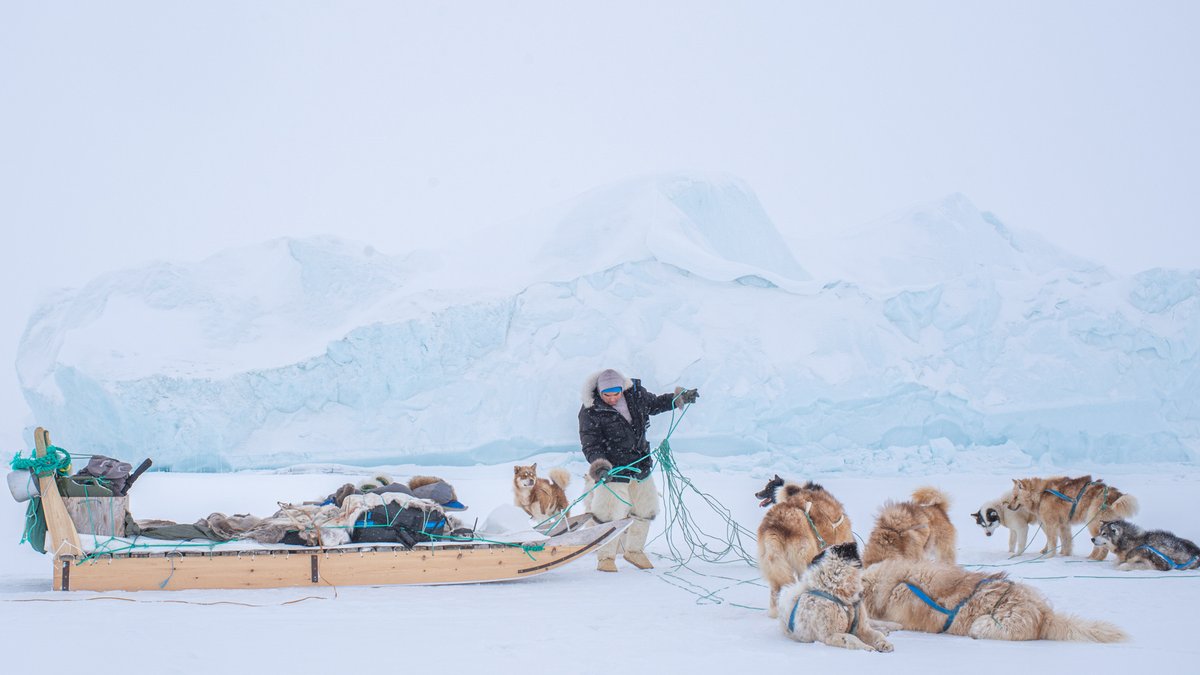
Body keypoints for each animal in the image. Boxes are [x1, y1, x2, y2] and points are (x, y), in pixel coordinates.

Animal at [758, 473, 854, 614]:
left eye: (768, 487)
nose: (756, 494)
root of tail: (775, 526)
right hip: (805, 561)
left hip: (774, 567)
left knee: (775, 592)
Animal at [1008, 473, 1137, 557]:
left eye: (1015, 497)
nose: (1008, 507)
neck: (1041, 493)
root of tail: (1116, 494)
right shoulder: (1063, 525)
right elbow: (1066, 542)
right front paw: (1064, 555)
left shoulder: (1051, 524)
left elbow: (1052, 542)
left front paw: (1049, 557)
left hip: (1093, 523)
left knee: (1102, 547)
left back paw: (1092, 558)